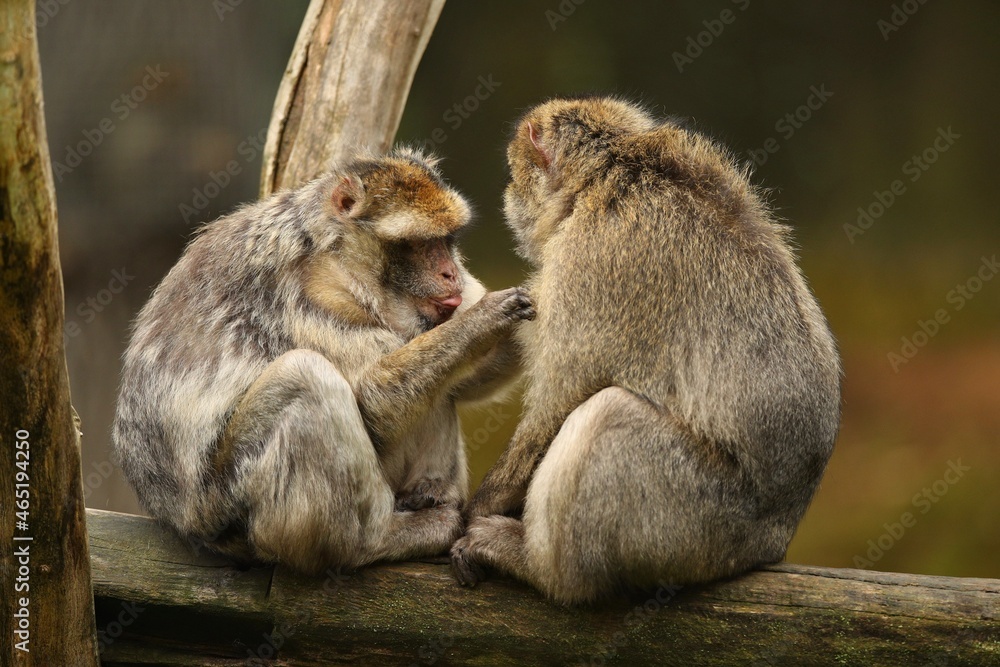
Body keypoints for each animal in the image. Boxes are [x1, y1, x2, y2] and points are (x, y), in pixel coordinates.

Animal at [113, 150, 536, 576]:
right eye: (421, 244)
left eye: (447, 241)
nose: (450, 273)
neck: (338, 256)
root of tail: (180, 518)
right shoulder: (315, 297)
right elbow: (372, 402)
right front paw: (484, 316)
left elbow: (470, 381)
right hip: (230, 500)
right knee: (304, 375)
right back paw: (379, 537)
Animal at [454, 95, 844, 604]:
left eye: (513, 172)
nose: (507, 192)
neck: (609, 173)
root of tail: (771, 540)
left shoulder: (591, 261)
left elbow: (560, 400)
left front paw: (477, 510)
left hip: (693, 517)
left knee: (611, 414)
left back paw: (539, 567)